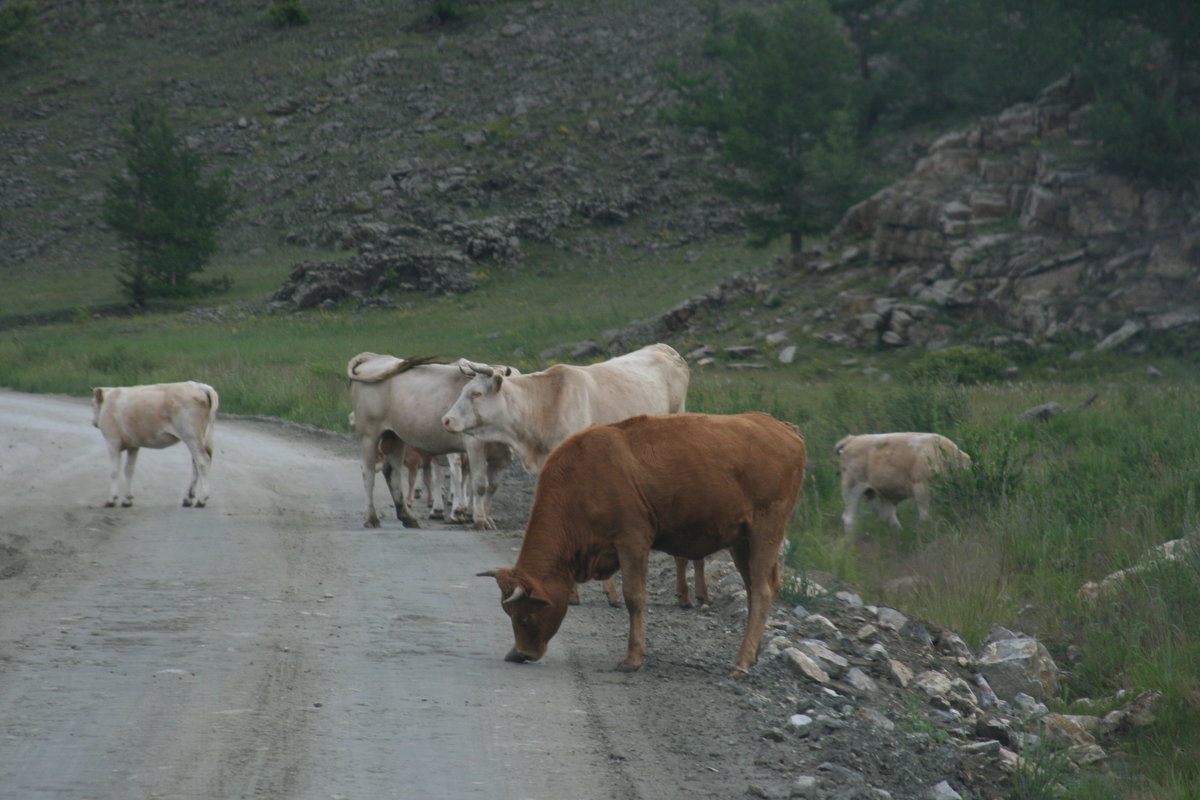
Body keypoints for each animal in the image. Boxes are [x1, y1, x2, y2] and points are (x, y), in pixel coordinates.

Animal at [91, 381, 220, 506]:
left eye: (92, 404)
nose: (93, 422)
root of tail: (199, 386)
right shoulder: (133, 446)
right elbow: (129, 470)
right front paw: (127, 499)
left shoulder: (112, 441)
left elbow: (114, 471)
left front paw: (111, 499)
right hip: (198, 438)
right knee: (195, 463)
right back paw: (188, 498)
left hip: (191, 435)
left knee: (202, 462)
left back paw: (202, 499)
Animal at [350, 352, 513, 527]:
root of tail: (375, 357)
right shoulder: (474, 445)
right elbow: (480, 484)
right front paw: (480, 521)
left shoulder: (504, 456)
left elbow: (493, 487)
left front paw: (487, 518)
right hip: (369, 434)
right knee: (368, 472)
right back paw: (371, 518)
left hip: (395, 436)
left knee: (392, 471)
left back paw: (407, 517)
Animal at [439, 343, 700, 606]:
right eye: (464, 390)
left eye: (475, 393)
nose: (446, 420)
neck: (544, 407)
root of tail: (663, 348)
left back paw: (686, 593)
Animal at [477, 412, 806, 676]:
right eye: (508, 614)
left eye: (526, 617)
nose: (518, 654)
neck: (583, 478)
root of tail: (782, 427)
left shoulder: (632, 541)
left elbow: (634, 597)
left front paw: (632, 658)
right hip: (742, 541)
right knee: (755, 588)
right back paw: (753, 653)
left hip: (765, 532)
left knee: (762, 590)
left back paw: (740, 663)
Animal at [840, 431, 969, 532]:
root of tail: (852, 439)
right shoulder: (921, 487)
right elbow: (924, 516)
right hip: (853, 489)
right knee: (849, 518)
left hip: (884, 491)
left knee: (889, 516)